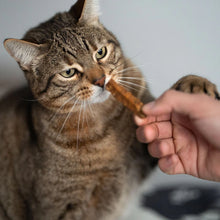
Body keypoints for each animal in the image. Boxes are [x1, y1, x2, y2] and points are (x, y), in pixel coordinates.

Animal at [0, 0, 219, 220]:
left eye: (100, 52)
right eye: (68, 72)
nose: (100, 80)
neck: (102, 120)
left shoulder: (145, 153)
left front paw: (195, 84)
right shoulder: (55, 206)